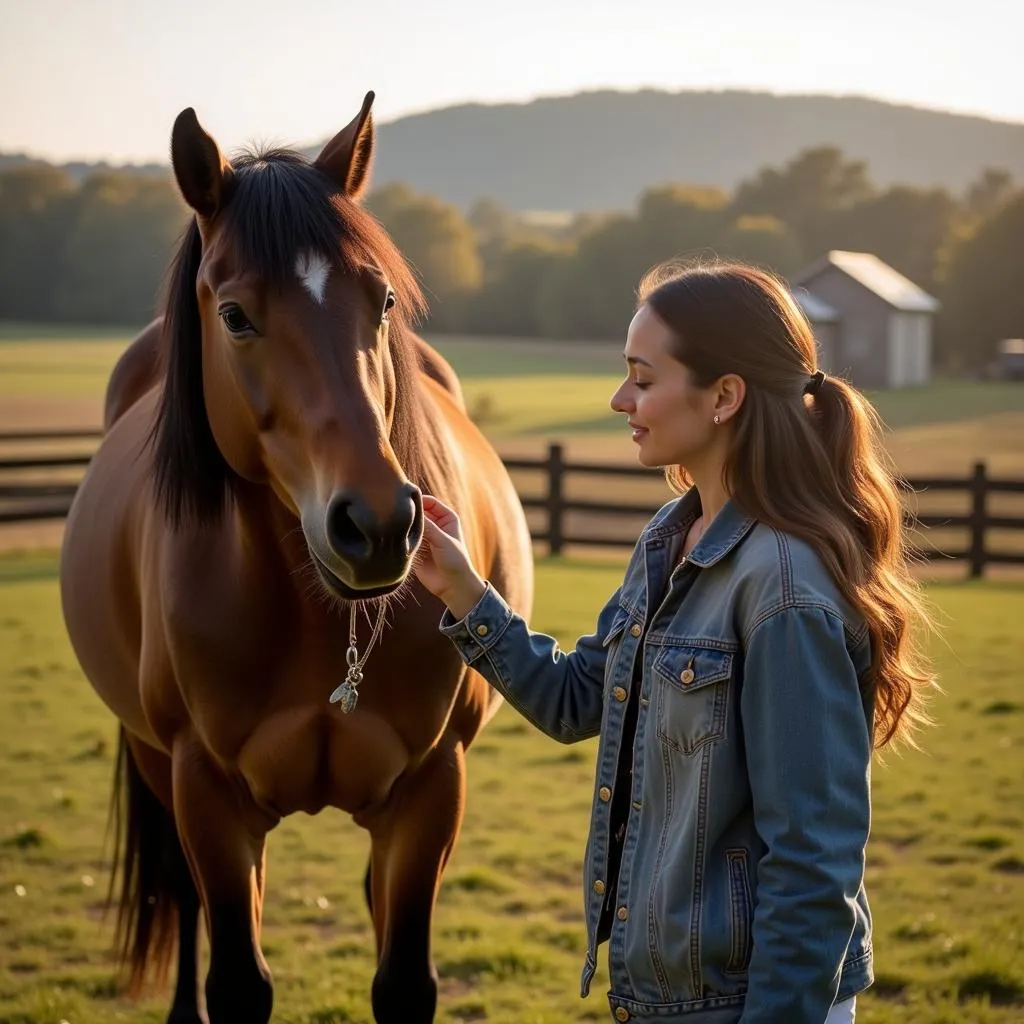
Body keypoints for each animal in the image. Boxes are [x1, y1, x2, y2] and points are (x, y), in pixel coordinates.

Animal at [58, 90, 532, 1024]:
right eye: (236, 315)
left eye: (381, 301)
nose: (379, 525)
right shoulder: (207, 795)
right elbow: (237, 977)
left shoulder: (432, 791)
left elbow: (403, 979)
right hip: (155, 762)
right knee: (188, 900)